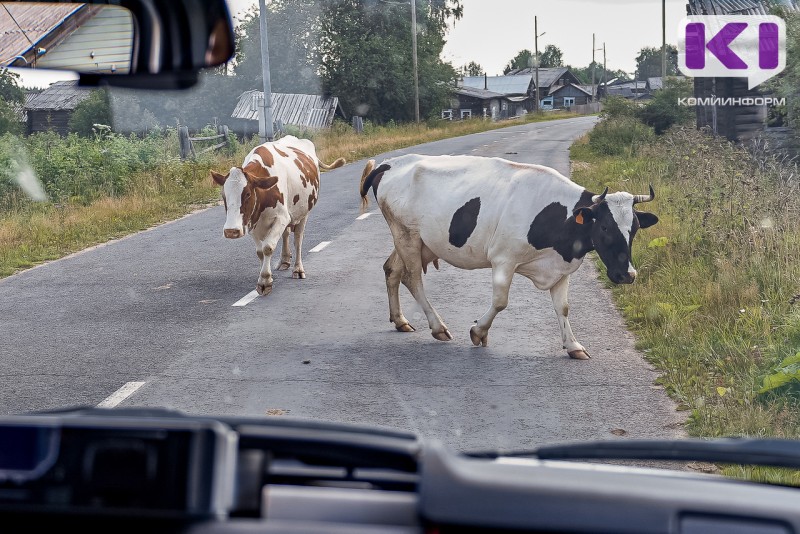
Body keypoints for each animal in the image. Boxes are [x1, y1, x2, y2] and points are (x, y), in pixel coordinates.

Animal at [214, 136, 346, 298]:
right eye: (223, 195)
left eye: (248, 194)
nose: (231, 231)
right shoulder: (252, 222)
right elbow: (260, 252)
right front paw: (266, 275)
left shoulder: (282, 218)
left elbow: (268, 247)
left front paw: (265, 281)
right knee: (286, 234)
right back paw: (284, 260)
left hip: (304, 213)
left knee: (298, 239)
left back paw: (298, 269)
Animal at [360, 156, 660, 364]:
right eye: (605, 227)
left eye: (634, 228)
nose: (627, 275)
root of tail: (390, 162)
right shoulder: (503, 259)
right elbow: (500, 302)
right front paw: (478, 332)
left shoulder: (561, 269)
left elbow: (563, 308)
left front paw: (574, 346)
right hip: (406, 235)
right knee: (412, 278)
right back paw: (438, 327)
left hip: (414, 241)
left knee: (392, 270)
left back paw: (400, 320)